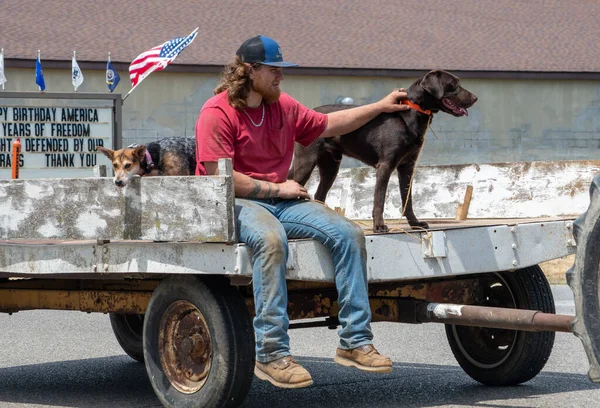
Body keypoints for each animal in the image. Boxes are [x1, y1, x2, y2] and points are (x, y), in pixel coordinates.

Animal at [290, 68, 478, 231]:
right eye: (454, 83)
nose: (476, 98)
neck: (412, 111)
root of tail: (308, 114)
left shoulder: (407, 167)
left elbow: (408, 200)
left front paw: (415, 223)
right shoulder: (385, 165)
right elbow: (379, 200)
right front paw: (379, 226)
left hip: (330, 166)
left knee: (320, 194)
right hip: (306, 162)